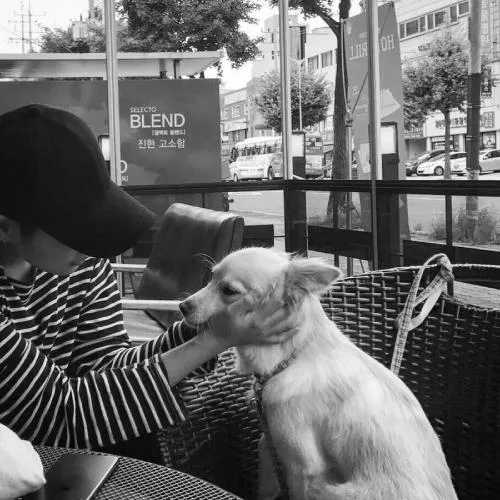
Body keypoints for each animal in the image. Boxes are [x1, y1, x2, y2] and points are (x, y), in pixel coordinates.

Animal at [179, 247, 458, 500]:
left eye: (228, 291)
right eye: (210, 278)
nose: (183, 306)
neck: (291, 358)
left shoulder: (303, 467)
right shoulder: (273, 437)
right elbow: (263, 449)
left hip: (334, 491)